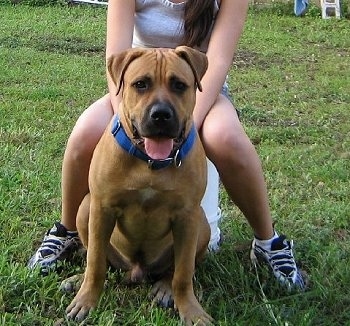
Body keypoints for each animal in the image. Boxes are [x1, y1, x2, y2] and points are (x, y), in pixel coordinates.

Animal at [63, 47, 211, 324]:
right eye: (141, 84)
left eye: (179, 85)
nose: (161, 114)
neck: (150, 163)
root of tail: (136, 271)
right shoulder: (101, 208)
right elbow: (95, 262)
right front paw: (86, 300)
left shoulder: (187, 216)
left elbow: (184, 272)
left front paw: (191, 310)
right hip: (85, 209)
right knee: (97, 258)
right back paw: (78, 280)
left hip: (202, 225)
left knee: (174, 269)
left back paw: (164, 288)